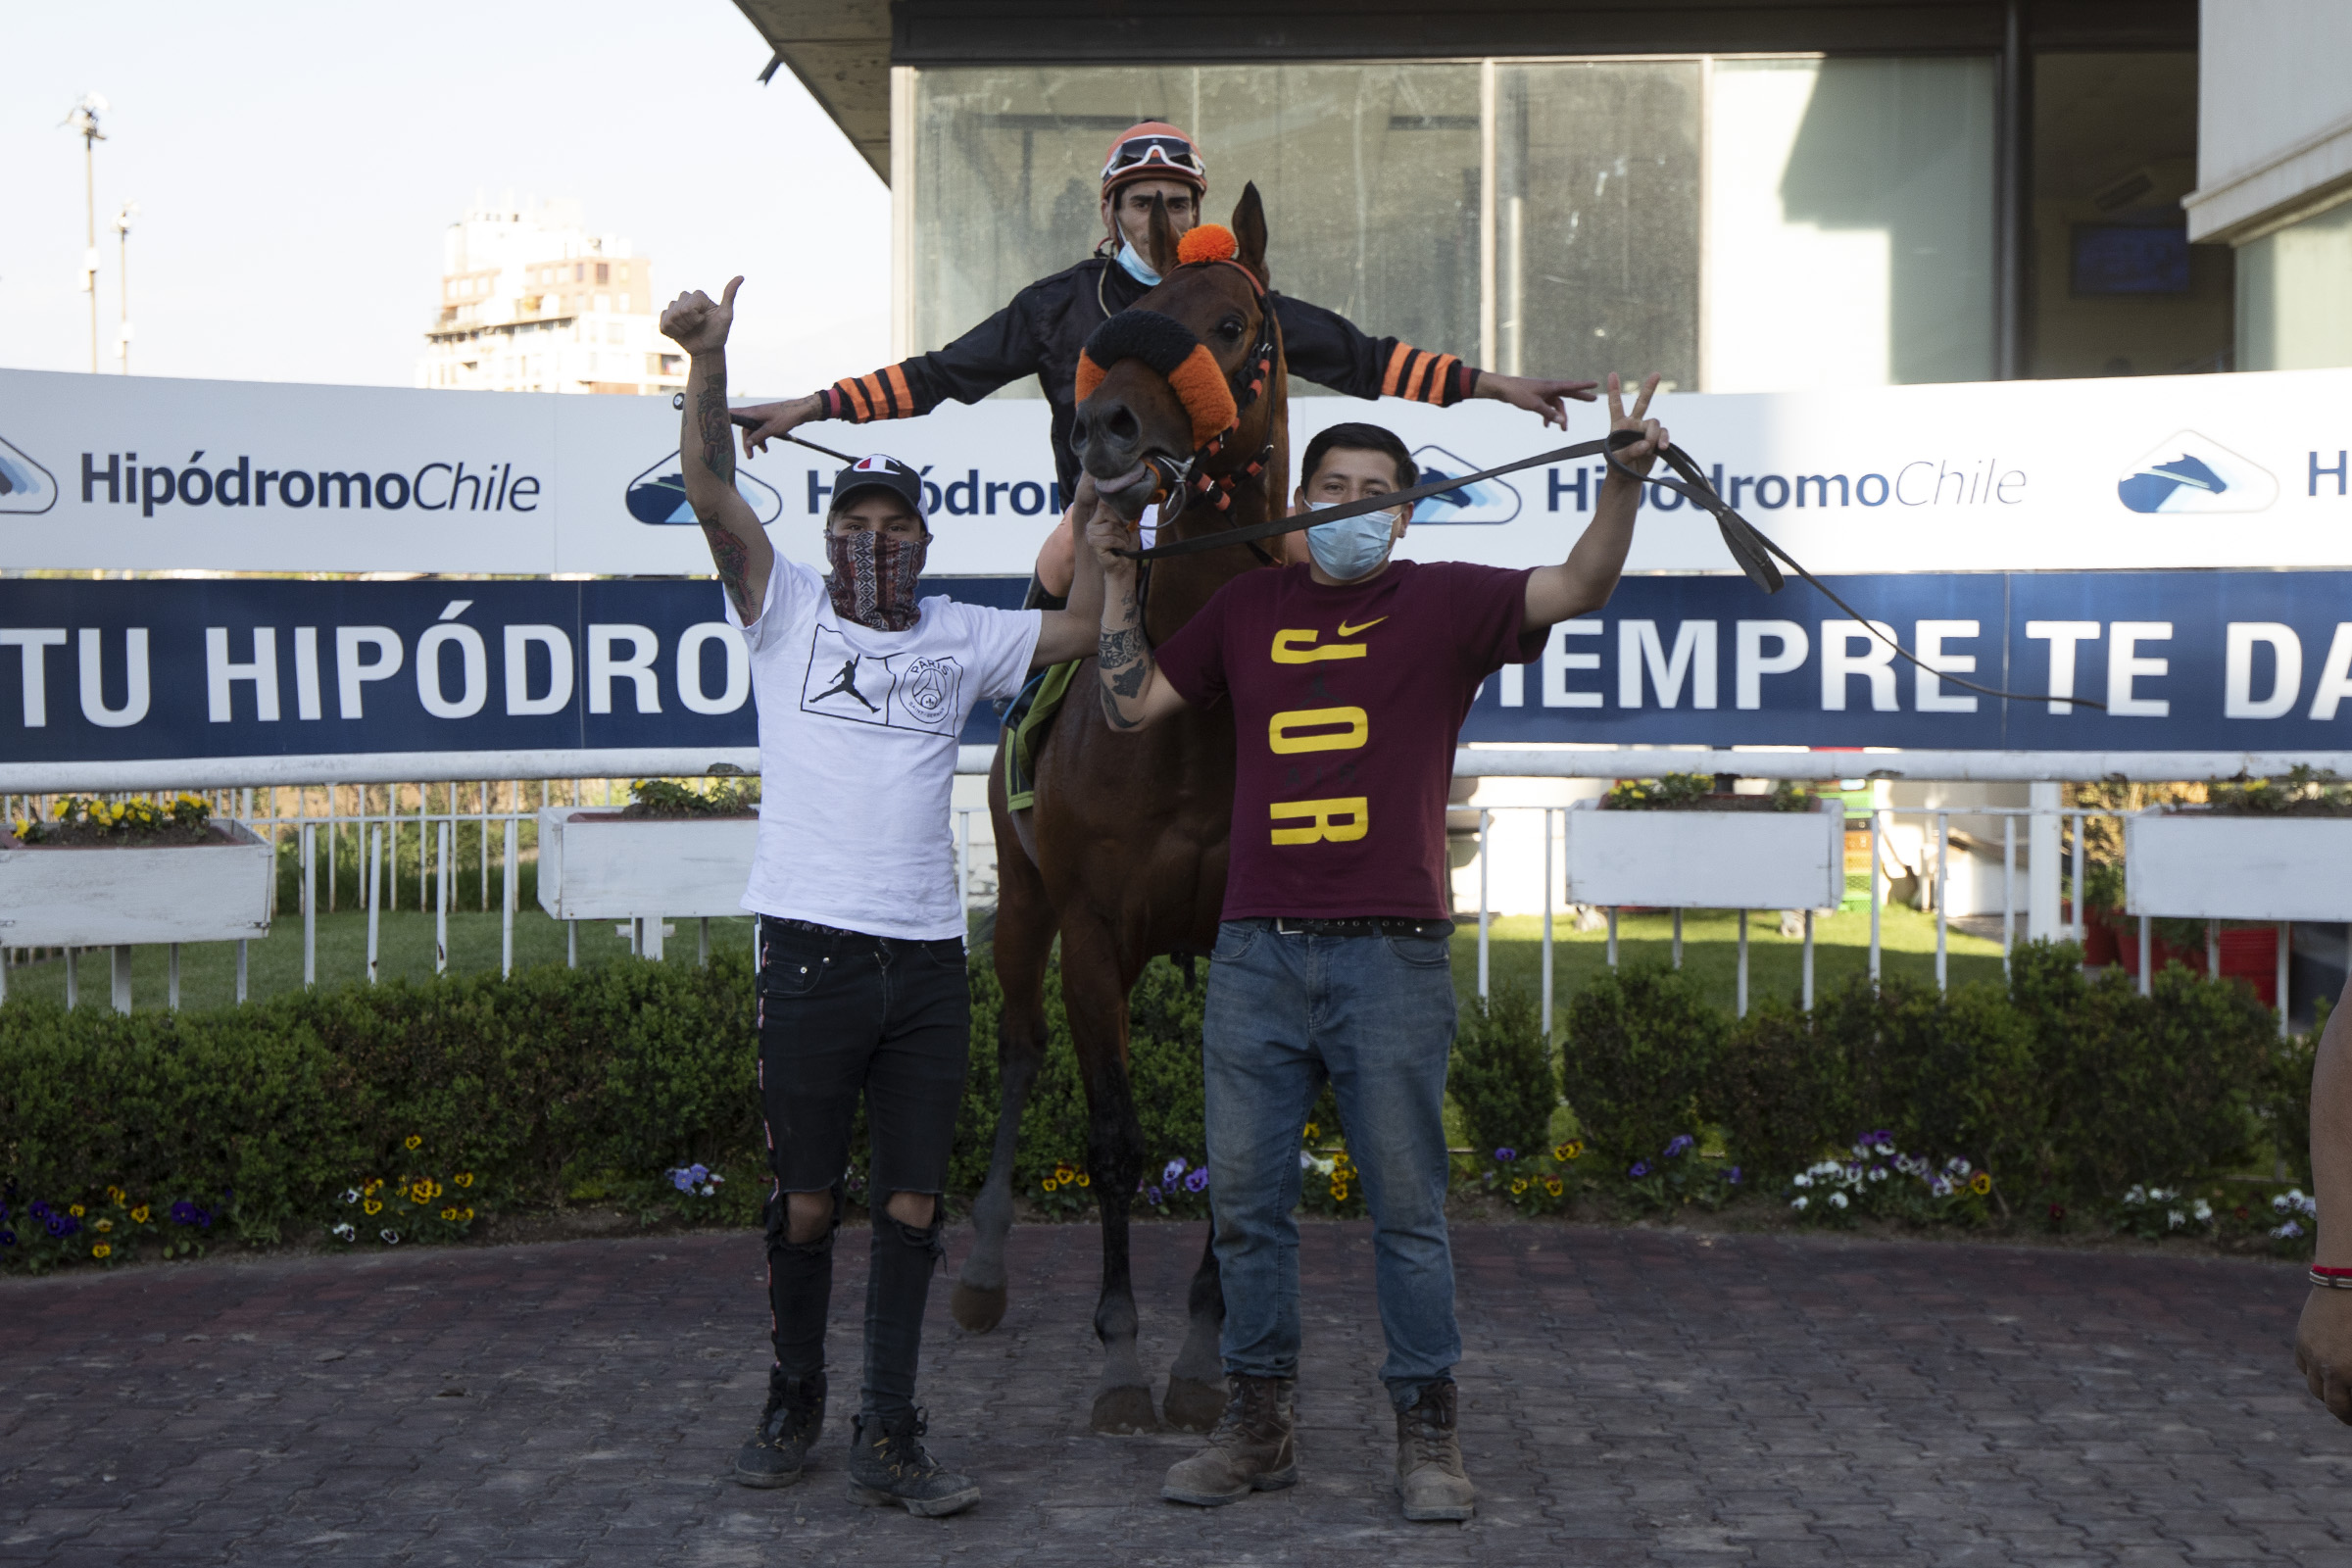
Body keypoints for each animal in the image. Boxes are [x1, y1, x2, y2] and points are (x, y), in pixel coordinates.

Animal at [949, 185, 1289, 1433]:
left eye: (1231, 322)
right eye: (1122, 332)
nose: (1105, 427)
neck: (1186, 718)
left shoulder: (1246, 931)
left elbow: (1242, 1149)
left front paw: (1202, 1353)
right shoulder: (1094, 932)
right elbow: (1112, 1139)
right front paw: (1122, 1353)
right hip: (1020, 904)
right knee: (1015, 1044)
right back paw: (982, 1269)